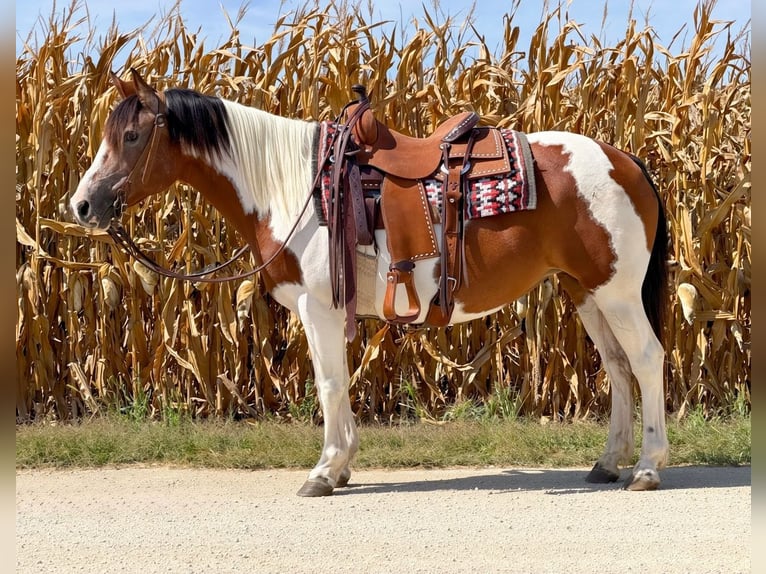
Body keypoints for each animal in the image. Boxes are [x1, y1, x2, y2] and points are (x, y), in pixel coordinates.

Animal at [70, 69, 670, 496]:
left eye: (131, 135)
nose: (81, 205)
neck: (294, 187)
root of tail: (624, 160)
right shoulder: (324, 313)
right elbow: (335, 383)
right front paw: (341, 467)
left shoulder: (319, 308)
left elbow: (330, 385)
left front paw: (323, 472)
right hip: (586, 293)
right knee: (618, 368)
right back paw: (608, 462)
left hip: (617, 294)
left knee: (646, 360)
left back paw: (647, 467)